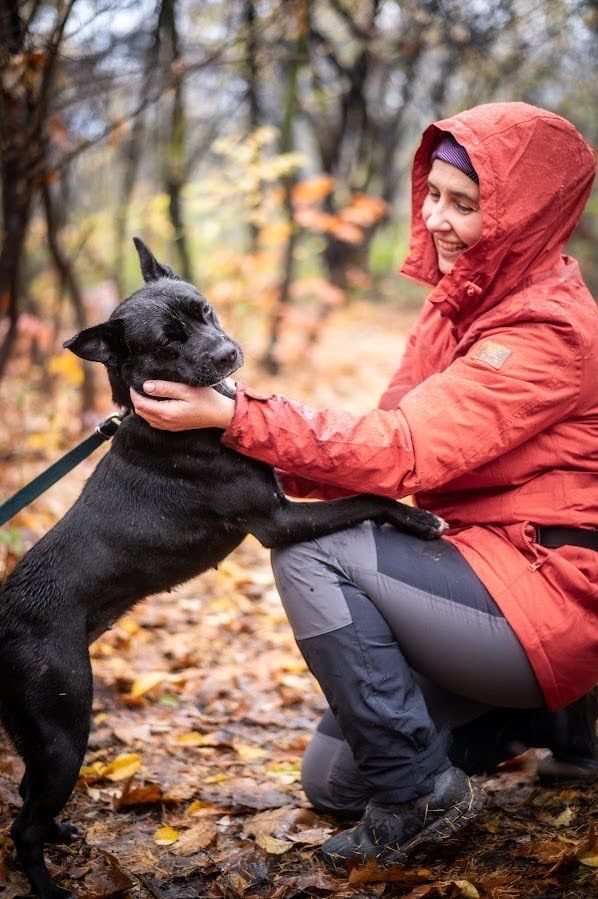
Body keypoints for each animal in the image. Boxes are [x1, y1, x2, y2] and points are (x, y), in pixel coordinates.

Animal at [0, 241, 446, 899]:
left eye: (204, 310)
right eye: (167, 341)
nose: (227, 354)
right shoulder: (277, 521)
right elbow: (367, 498)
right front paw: (418, 519)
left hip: (40, 736)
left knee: (28, 798)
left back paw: (60, 835)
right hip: (63, 728)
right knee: (23, 823)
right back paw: (47, 881)